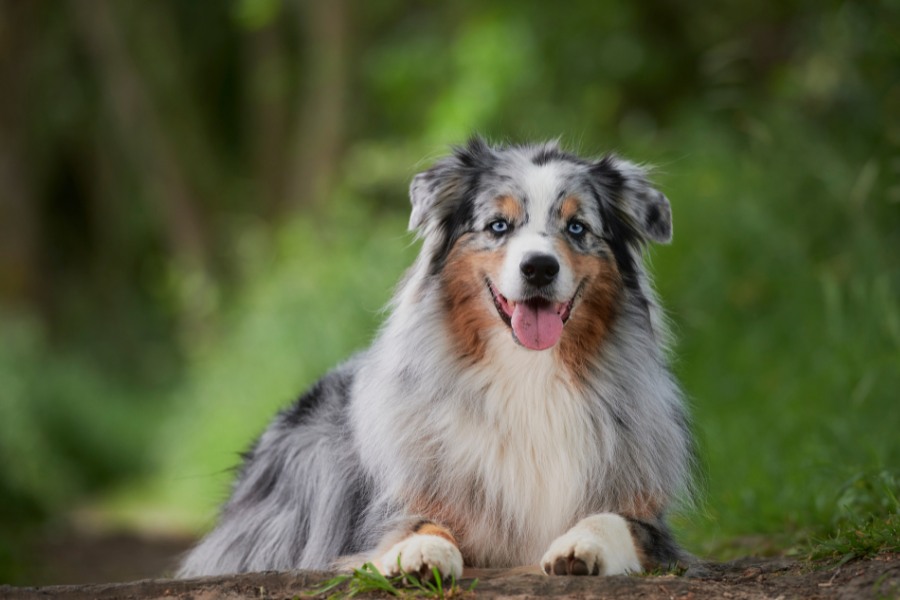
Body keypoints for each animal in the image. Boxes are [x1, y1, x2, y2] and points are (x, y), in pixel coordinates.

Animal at [178, 138, 696, 580]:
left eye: (577, 227)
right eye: (498, 225)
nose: (539, 268)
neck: (528, 373)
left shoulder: (650, 520)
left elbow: (616, 520)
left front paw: (580, 545)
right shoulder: (393, 507)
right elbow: (418, 523)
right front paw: (422, 553)